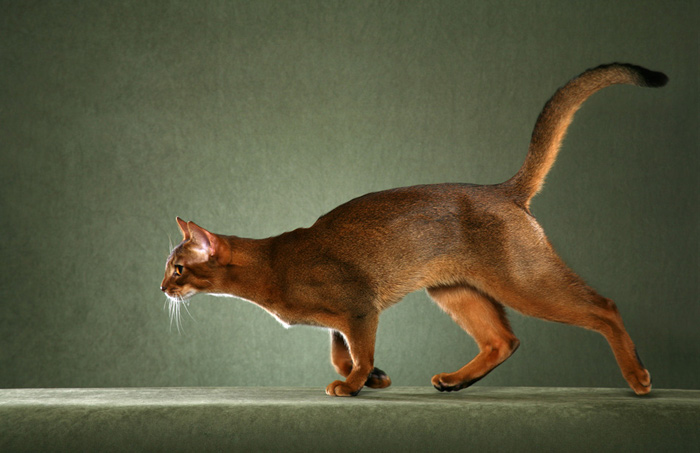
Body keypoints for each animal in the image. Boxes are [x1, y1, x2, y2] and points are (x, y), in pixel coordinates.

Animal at [160, 63, 668, 396]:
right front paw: (373, 378)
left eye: (178, 269)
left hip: (523, 280)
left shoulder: (359, 305)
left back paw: (639, 379)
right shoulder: (347, 315)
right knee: (504, 340)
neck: (271, 264)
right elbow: (340, 349)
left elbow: (357, 350)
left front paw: (353, 384)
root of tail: (502, 190)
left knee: (604, 308)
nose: (163, 288)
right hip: (453, 289)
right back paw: (455, 381)